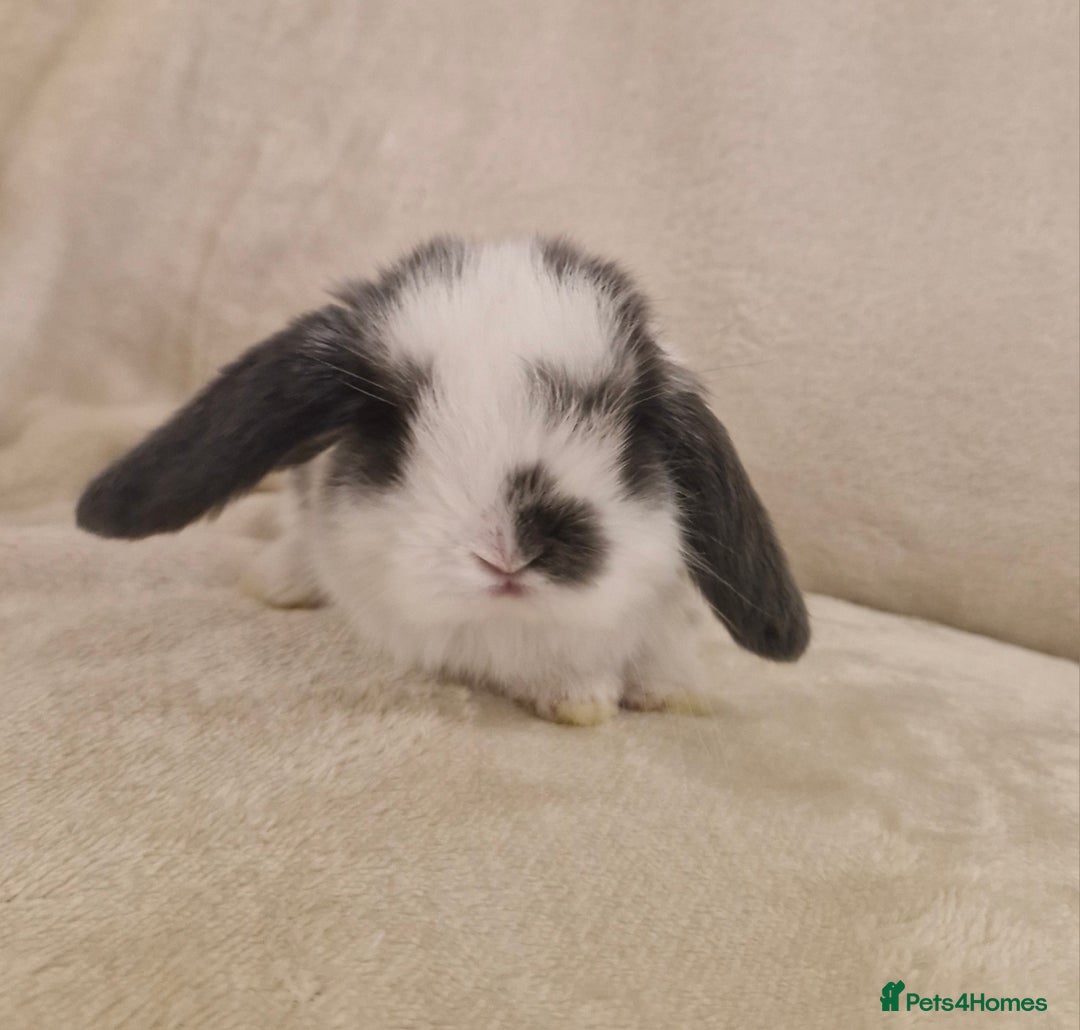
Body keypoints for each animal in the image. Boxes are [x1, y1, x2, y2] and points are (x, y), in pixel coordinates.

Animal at [76, 236, 810, 725]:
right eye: (391, 427)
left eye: (630, 432)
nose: (508, 553)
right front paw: (584, 697)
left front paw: (647, 694)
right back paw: (275, 583)